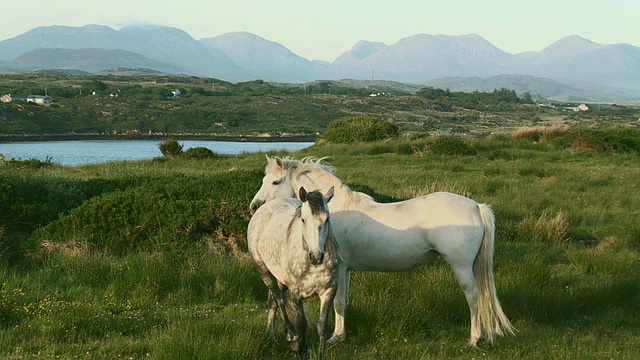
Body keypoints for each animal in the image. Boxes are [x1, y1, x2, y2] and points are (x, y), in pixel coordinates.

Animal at [248, 186, 340, 360]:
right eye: (303, 220)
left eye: (327, 219)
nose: (316, 256)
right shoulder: (296, 293)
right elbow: (301, 324)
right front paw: (300, 348)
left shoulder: (329, 290)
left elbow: (322, 326)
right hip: (264, 270)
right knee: (277, 298)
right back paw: (289, 337)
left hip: (280, 277)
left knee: (273, 302)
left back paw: (271, 335)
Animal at [250, 157, 516, 346]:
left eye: (275, 182)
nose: (255, 207)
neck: (335, 210)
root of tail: (477, 206)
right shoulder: (347, 270)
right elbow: (344, 302)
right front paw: (340, 335)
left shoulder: (341, 269)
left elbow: (338, 301)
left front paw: (335, 337)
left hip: (461, 266)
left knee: (473, 297)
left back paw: (474, 339)